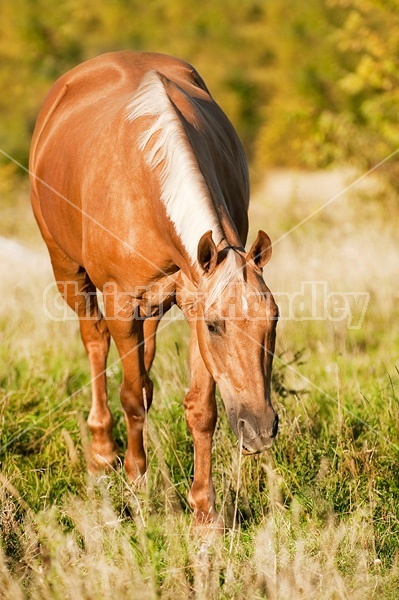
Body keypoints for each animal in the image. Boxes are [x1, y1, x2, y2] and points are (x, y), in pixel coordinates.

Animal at [29, 52, 280, 528]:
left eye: (272, 322)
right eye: (218, 326)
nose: (259, 428)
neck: (145, 184)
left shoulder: (193, 296)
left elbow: (200, 409)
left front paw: (205, 513)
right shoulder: (122, 303)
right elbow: (130, 395)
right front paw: (136, 480)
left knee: (144, 370)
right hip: (68, 272)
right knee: (96, 345)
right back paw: (102, 452)